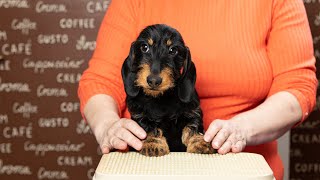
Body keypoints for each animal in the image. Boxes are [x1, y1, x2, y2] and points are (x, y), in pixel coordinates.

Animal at [121, 23, 214, 156]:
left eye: (173, 50)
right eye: (144, 47)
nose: (154, 80)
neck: (161, 97)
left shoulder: (193, 112)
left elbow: (192, 126)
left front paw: (199, 141)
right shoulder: (139, 115)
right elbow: (149, 128)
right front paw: (153, 143)